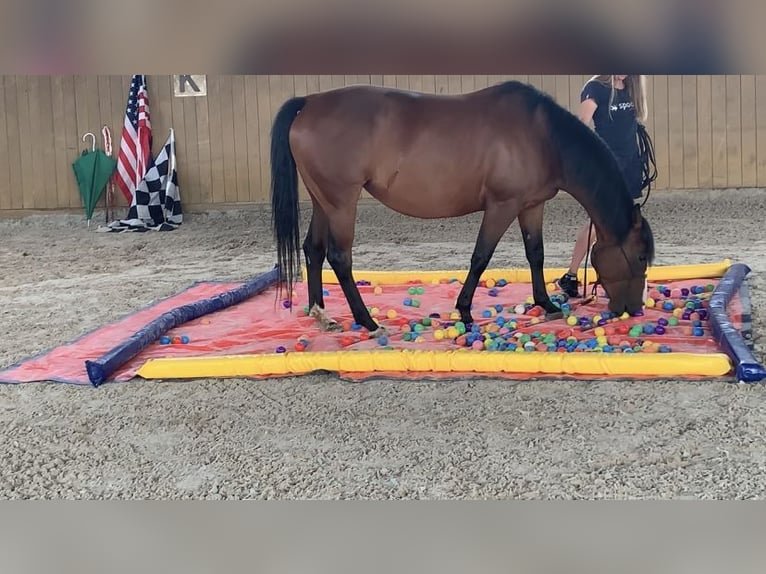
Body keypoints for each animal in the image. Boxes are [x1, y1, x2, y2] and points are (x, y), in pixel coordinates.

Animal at [268, 79, 656, 336]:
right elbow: (480, 257)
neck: (543, 136)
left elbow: (536, 254)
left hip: (323, 201)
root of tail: (309, 102)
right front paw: (465, 311)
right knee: (339, 257)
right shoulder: (502, 205)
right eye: (639, 256)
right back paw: (367, 321)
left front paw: (546, 304)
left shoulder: (531, 206)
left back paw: (322, 314)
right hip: (342, 203)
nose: (634, 310)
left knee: (313, 249)